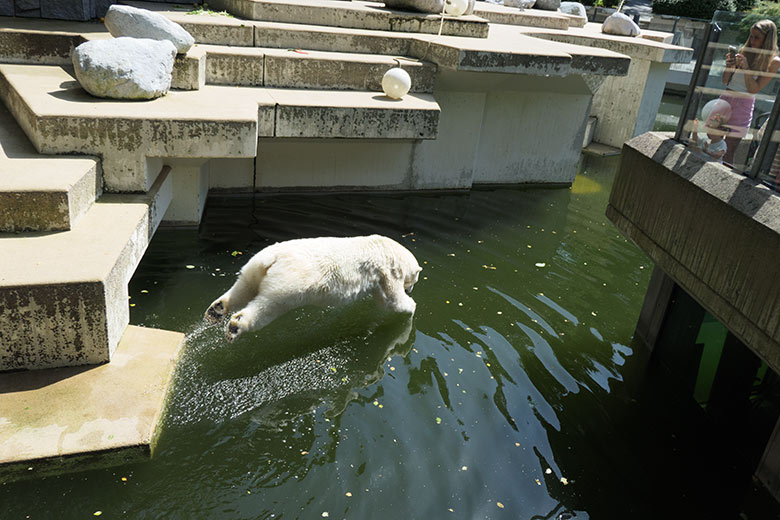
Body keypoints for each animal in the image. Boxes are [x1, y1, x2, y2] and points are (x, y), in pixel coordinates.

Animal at [201, 235, 420, 342]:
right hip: (289, 284)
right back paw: (235, 326)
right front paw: (411, 307)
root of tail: (271, 259)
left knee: (243, 287)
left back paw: (217, 309)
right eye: (415, 279)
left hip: (253, 268)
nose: (410, 290)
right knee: (267, 307)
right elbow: (391, 300)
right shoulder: (387, 270)